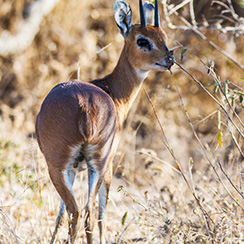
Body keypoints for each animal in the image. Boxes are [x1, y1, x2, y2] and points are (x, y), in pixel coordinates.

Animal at [35, 0, 174, 243]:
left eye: (163, 36)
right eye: (142, 40)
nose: (170, 60)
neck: (112, 92)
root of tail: (85, 105)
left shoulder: (74, 170)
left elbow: (59, 215)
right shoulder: (107, 166)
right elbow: (101, 213)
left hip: (69, 168)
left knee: (78, 212)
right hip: (88, 166)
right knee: (86, 213)